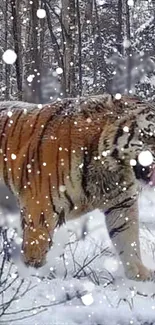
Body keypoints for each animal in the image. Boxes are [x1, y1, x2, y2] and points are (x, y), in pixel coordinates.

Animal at [0, 92, 155, 280]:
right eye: (150, 135)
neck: (112, 168)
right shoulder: (40, 207)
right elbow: (36, 247)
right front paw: (33, 276)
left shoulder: (122, 204)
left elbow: (128, 237)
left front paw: (140, 275)